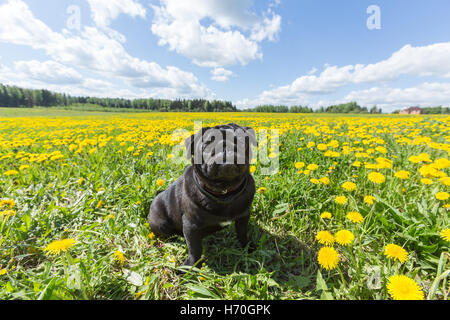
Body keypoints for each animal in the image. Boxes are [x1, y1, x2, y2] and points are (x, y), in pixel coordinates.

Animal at [149, 124, 256, 266]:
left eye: (240, 141)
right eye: (207, 145)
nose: (224, 146)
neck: (224, 191)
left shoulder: (243, 217)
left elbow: (242, 233)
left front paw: (248, 247)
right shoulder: (191, 226)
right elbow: (195, 248)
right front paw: (192, 265)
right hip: (160, 224)